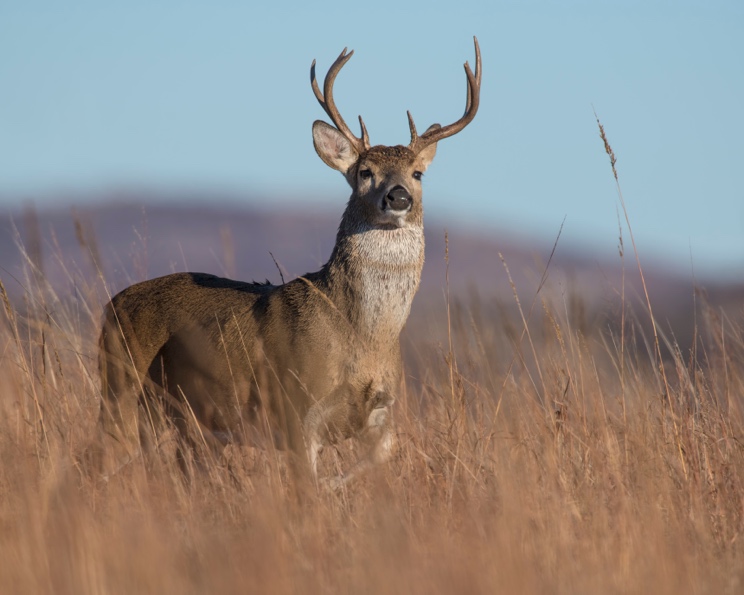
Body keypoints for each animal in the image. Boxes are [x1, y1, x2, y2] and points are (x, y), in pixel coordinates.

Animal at [96, 37, 481, 489]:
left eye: (418, 173)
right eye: (365, 172)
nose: (398, 196)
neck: (365, 337)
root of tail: (110, 305)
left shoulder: (381, 410)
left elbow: (382, 453)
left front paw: (335, 486)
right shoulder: (295, 406)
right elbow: (306, 484)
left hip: (189, 425)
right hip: (120, 386)